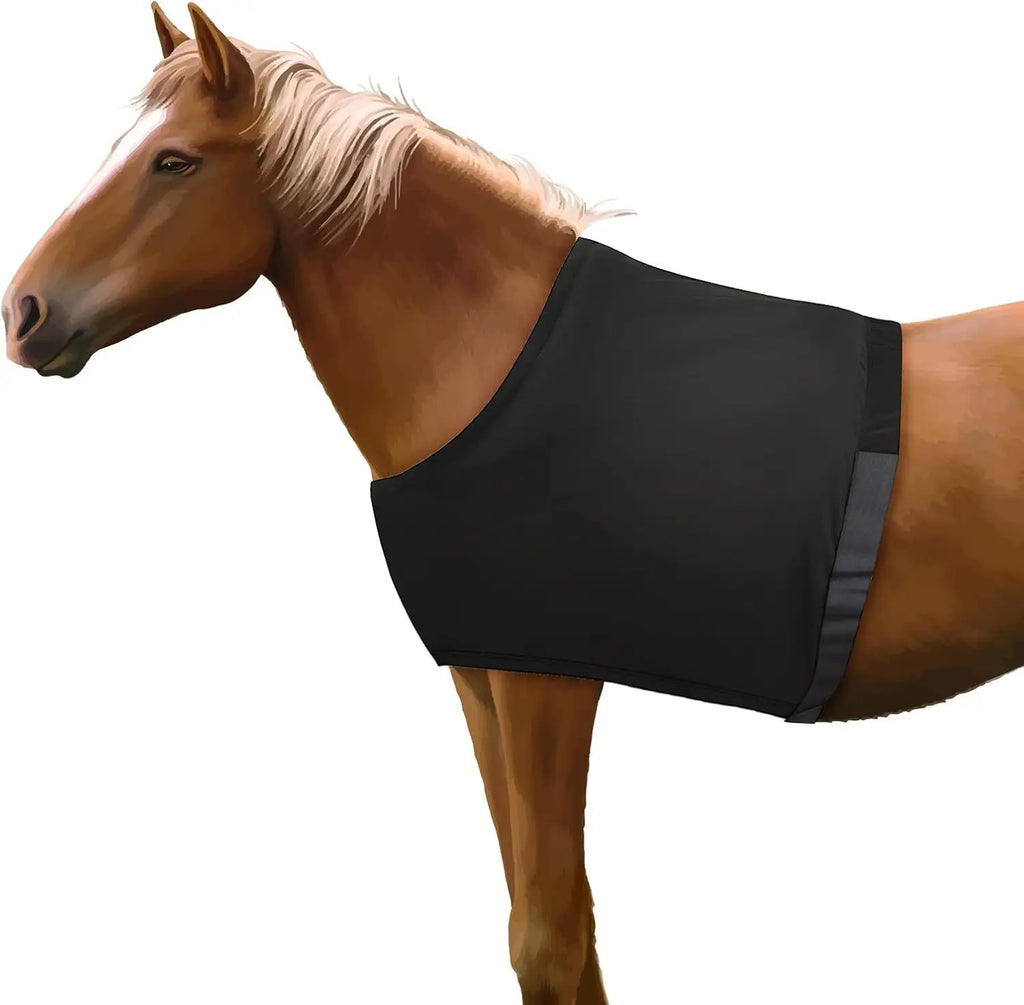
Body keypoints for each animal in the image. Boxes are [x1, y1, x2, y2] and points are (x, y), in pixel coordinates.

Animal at [7, 4, 1024, 1003]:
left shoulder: (548, 682)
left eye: (173, 162)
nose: (24, 312)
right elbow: (560, 934)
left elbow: (547, 940)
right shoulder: (482, 679)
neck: (490, 365)